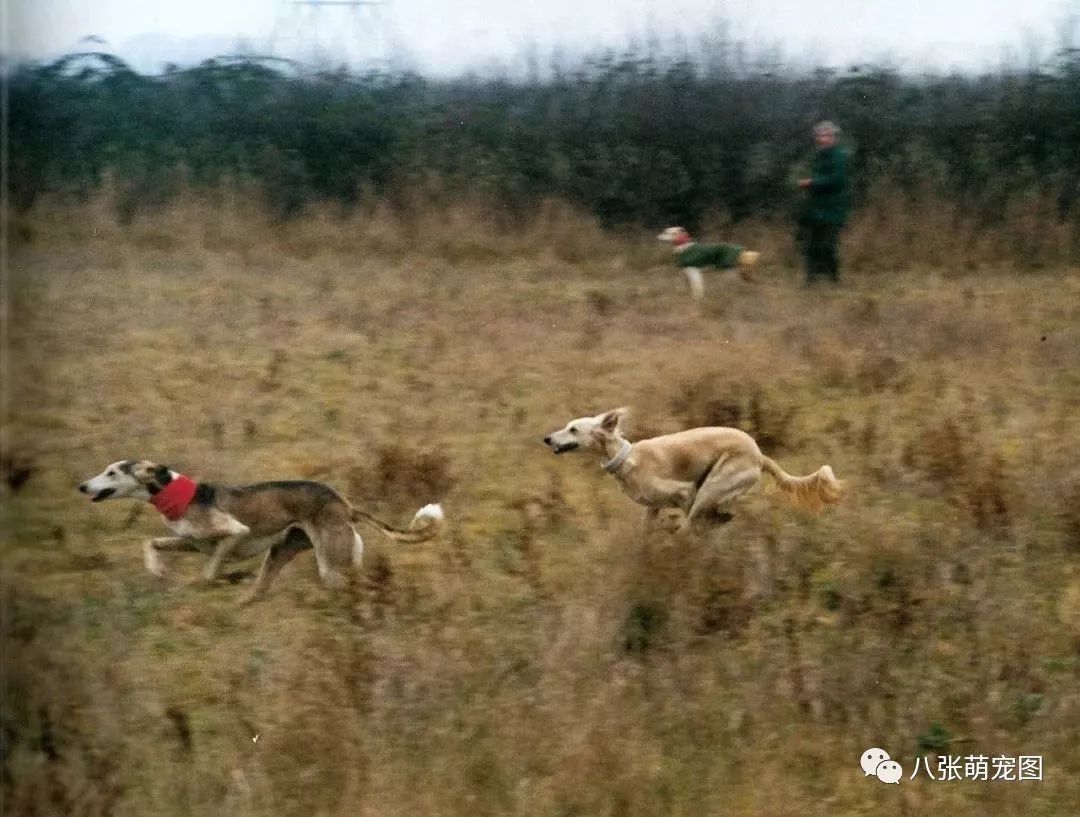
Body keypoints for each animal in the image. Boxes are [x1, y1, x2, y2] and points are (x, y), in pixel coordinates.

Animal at [77, 462, 442, 605]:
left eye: (112, 472)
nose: (82, 486)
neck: (178, 494)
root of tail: (345, 503)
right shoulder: (192, 542)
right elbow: (151, 542)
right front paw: (158, 570)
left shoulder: (234, 533)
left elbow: (209, 572)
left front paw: (204, 582)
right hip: (281, 553)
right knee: (259, 591)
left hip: (331, 562)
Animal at [544, 408, 838, 536]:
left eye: (573, 429)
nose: (546, 438)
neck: (626, 457)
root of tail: (759, 454)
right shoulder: (652, 508)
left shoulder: (686, 492)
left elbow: (690, 521)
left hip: (712, 486)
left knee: (695, 524)